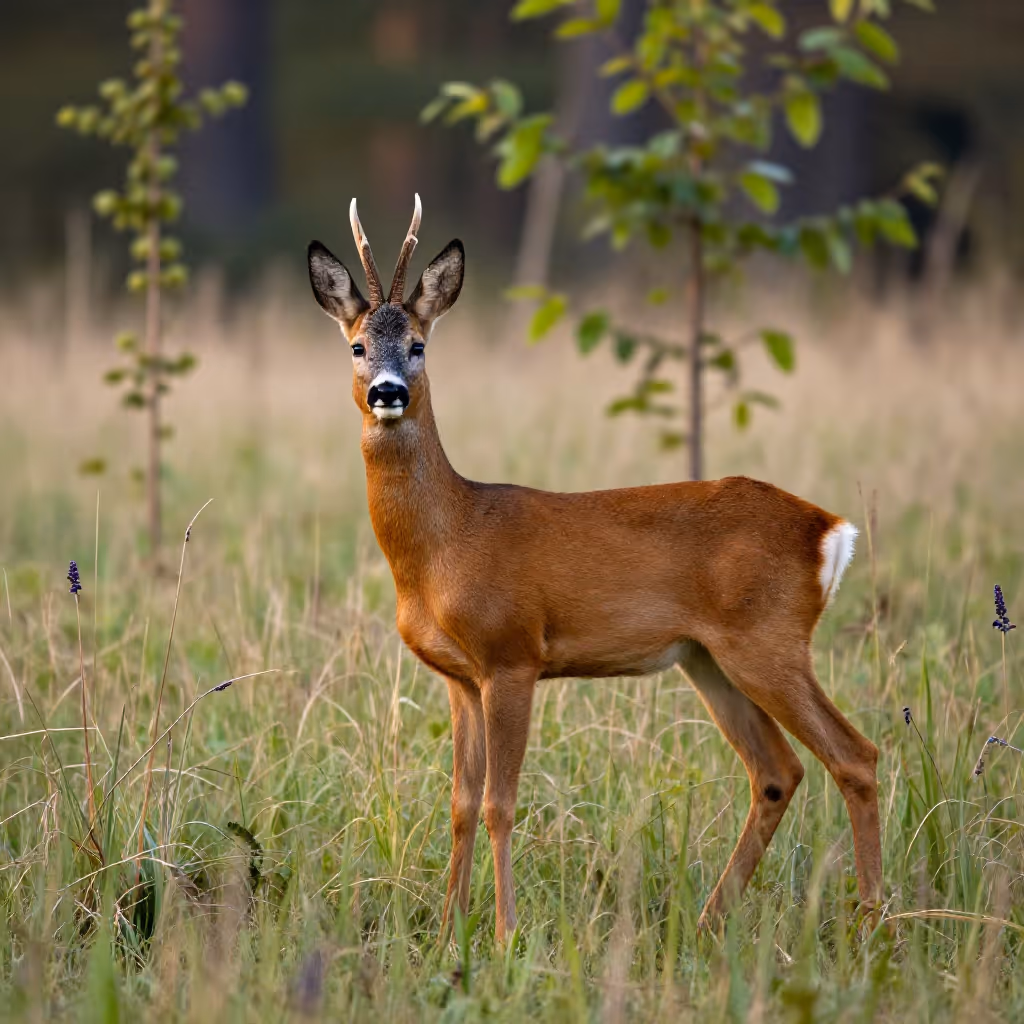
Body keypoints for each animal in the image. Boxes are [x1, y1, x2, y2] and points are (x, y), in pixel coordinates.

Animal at [306, 195, 881, 944]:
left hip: (769, 640)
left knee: (854, 755)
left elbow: (499, 803)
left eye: (419, 344)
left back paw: (877, 923)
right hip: (710, 658)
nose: (386, 392)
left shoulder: (513, 655)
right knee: (778, 771)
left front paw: (504, 933)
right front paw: (448, 929)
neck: (447, 540)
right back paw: (707, 921)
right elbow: (461, 801)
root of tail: (829, 531)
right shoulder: (460, 677)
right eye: (357, 345)